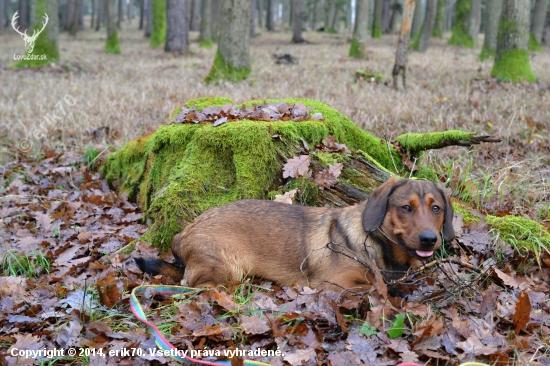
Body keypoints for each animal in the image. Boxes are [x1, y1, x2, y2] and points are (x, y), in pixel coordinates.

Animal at [136, 177, 454, 292]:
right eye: (406, 208)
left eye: (436, 208)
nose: (429, 239)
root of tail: (182, 234)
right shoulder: (334, 285)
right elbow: (376, 287)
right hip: (227, 269)